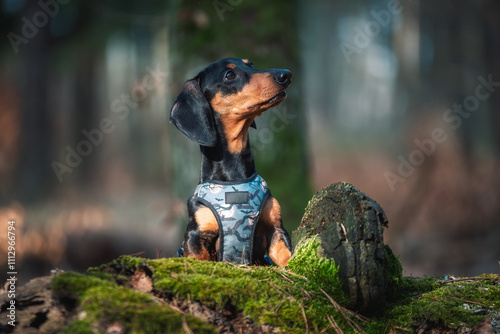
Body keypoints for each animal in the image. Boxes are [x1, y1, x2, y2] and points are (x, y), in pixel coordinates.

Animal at [170, 57, 292, 266]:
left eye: (250, 65)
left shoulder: (276, 229)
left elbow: (289, 258)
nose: (286, 74)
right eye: (229, 75)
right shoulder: (195, 235)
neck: (234, 177)